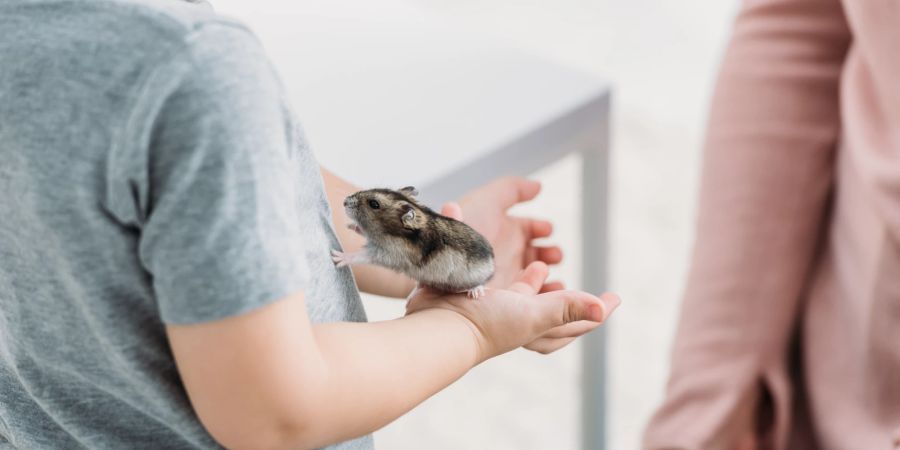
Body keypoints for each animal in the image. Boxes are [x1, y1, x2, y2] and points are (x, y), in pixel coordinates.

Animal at [334, 186, 496, 298]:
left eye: (374, 204)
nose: (344, 202)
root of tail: (493, 263)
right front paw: (350, 226)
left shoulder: (387, 253)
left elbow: (361, 255)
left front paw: (338, 257)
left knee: (481, 282)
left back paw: (475, 292)